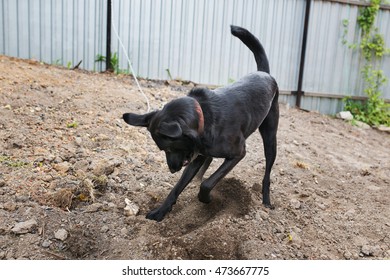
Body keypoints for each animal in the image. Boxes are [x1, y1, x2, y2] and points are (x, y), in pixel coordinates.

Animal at [123, 26, 278, 223]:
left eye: (169, 148)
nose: (172, 170)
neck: (204, 117)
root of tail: (265, 73)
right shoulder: (196, 157)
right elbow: (177, 187)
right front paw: (161, 211)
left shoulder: (238, 153)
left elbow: (207, 183)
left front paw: (206, 199)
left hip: (270, 137)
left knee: (267, 172)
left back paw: (266, 200)